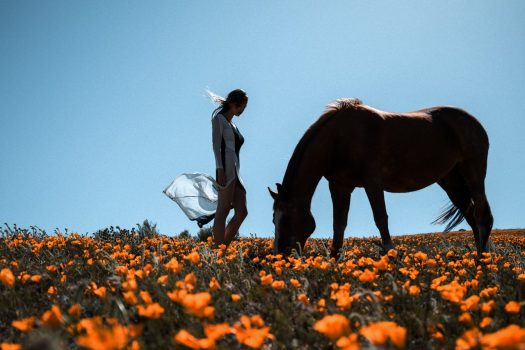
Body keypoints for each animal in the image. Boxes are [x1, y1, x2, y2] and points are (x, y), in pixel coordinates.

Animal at [268, 98, 494, 258]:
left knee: (482, 216)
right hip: (451, 181)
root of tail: (474, 123)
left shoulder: (373, 183)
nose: (280, 256)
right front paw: (334, 263)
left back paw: (482, 262)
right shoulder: (339, 186)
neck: (338, 139)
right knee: (472, 216)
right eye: (273, 219)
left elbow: (380, 219)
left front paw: (391, 257)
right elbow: (338, 225)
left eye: (286, 218)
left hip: (473, 173)